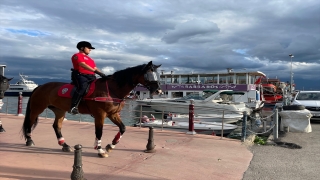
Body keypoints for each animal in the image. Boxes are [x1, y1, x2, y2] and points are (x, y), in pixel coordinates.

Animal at [21, 61, 162, 157]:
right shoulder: (100, 114)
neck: (112, 89)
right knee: (29, 122)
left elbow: (122, 128)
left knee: (56, 126)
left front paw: (111, 145)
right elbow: (99, 132)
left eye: (158, 75)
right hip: (36, 108)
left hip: (59, 110)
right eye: (149, 75)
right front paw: (100, 150)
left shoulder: (113, 114)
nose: (158, 90)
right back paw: (29, 140)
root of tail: (40, 87)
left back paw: (64, 145)